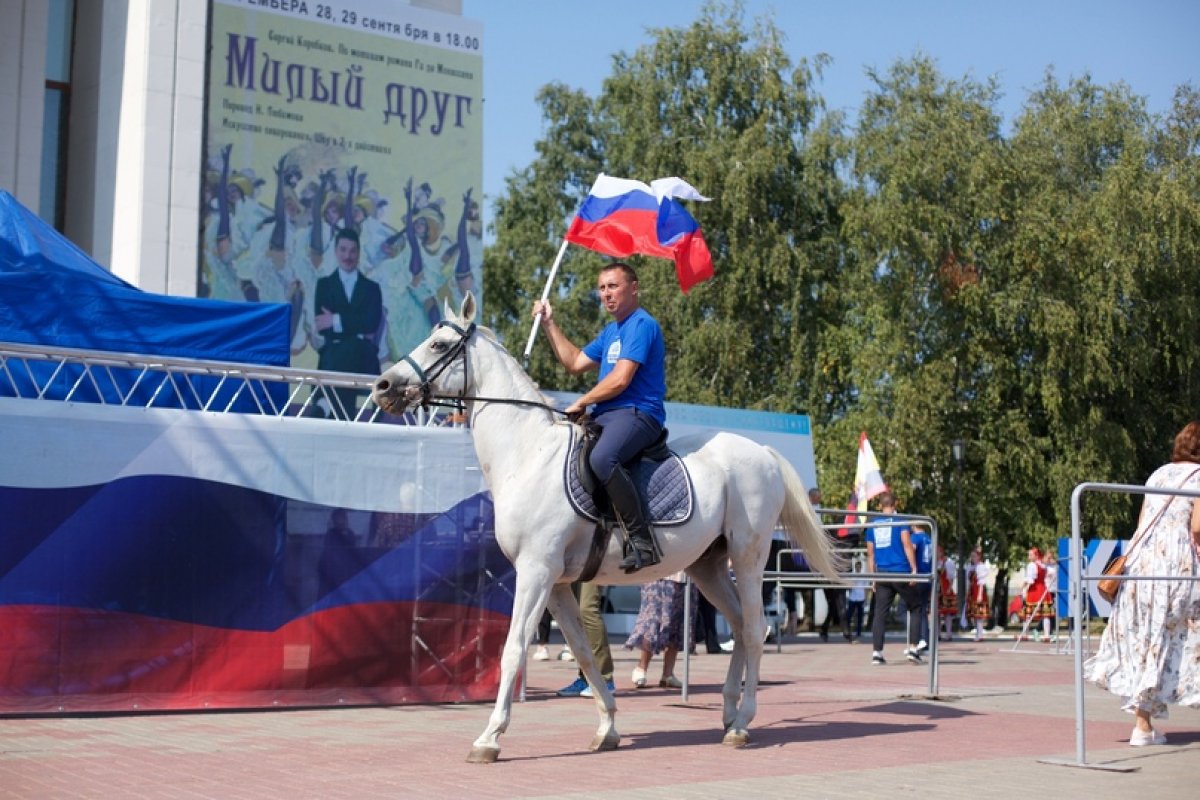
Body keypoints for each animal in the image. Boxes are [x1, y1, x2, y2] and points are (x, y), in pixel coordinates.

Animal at [369, 293, 840, 762]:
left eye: (439, 344)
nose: (382, 387)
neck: (528, 455)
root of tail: (763, 451)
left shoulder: (535, 572)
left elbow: (514, 648)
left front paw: (489, 738)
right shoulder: (557, 583)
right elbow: (583, 651)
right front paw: (608, 727)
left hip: (749, 557)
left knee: (757, 630)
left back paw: (742, 724)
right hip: (708, 566)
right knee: (742, 627)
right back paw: (727, 713)